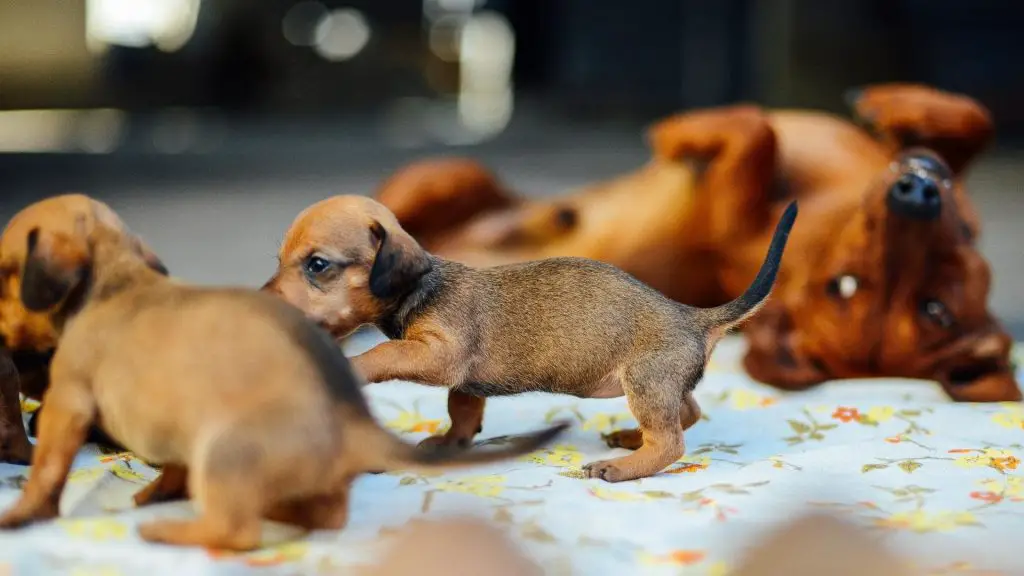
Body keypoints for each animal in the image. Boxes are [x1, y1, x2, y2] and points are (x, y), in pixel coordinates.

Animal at [0, 196, 569, 545]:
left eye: (5, 271)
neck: (119, 283)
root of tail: (350, 426)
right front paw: (158, 488)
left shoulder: (67, 403)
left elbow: (47, 467)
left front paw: (25, 511)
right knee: (322, 515)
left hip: (224, 451)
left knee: (237, 532)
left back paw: (168, 530)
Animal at [264, 195, 798, 479]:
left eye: (318, 265)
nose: (264, 301)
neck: (423, 285)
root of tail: (693, 317)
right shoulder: (464, 383)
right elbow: (462, 412)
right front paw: (452, 442)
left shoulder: (439, 355)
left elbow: (384, 351)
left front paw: (352, 364)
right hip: (658, 386)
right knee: (688, 413)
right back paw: (630, 440)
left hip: (645, 384)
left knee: (671, 442)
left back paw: (624, 466)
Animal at [380, 83, 1019, 401]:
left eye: (932, 307)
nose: (916, 192)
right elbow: (976, 118)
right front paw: (892, 102)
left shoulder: (730, 221)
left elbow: (754, 134)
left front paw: (687, 134)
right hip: (452, 172)